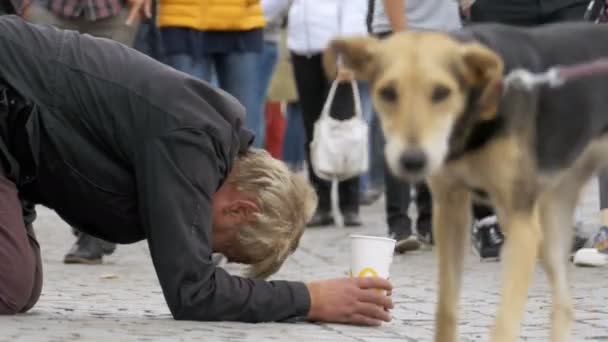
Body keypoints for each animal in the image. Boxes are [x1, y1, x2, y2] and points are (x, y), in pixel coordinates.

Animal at [328, 24, 608, 342]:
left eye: (442, 92)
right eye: (387, 92)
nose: (412, 160)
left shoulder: (521, 225)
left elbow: (504, 324)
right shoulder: (450, 212)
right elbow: (446, 309)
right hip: (553, 217)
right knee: (564, 304)